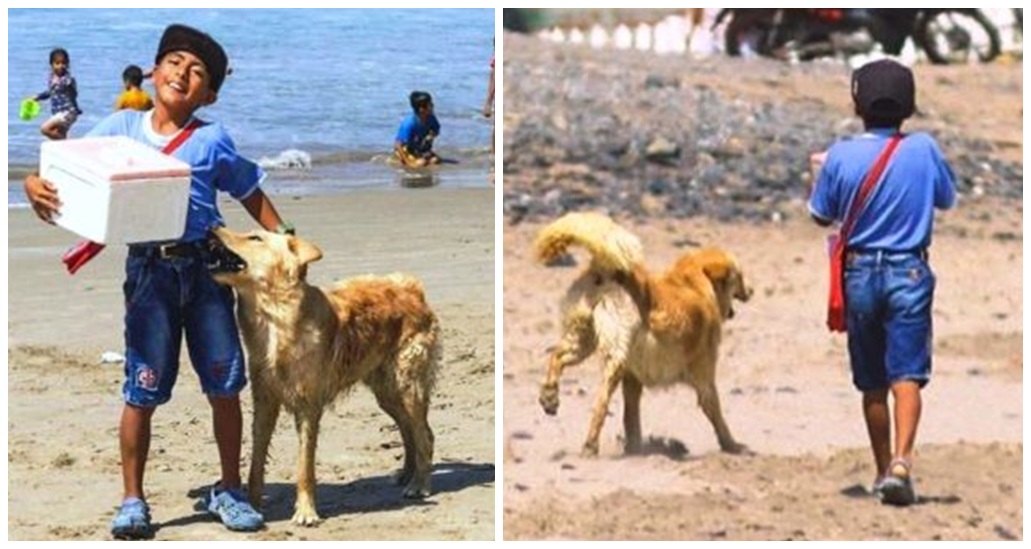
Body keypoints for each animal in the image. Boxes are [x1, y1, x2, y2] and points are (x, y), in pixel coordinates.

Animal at [207, 225, 437, 524]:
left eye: (255, 238)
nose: (212, 228)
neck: (274, 318)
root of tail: (412, 288)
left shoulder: (308, 406)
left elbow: (304, 466)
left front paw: (306, 512)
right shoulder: (265, 401)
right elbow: (256, 460)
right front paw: (253, 504)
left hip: (407, 384)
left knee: (424, 434)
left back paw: (419, 484)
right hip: (387, 392)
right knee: (407, 429)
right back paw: (406, 474)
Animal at [536, 212, 754, 456]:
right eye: (740, 276)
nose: (752, 290)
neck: (693, 283)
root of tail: (606, 270)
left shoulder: (633, 378)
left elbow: (631, 417)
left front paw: (635, 448)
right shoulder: (704, 373)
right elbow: (716, 414)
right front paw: (733, 445)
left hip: (582, 338)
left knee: (557, 356)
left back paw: (549, 395)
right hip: (615, 356)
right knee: (600, 401)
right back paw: (590, 444)